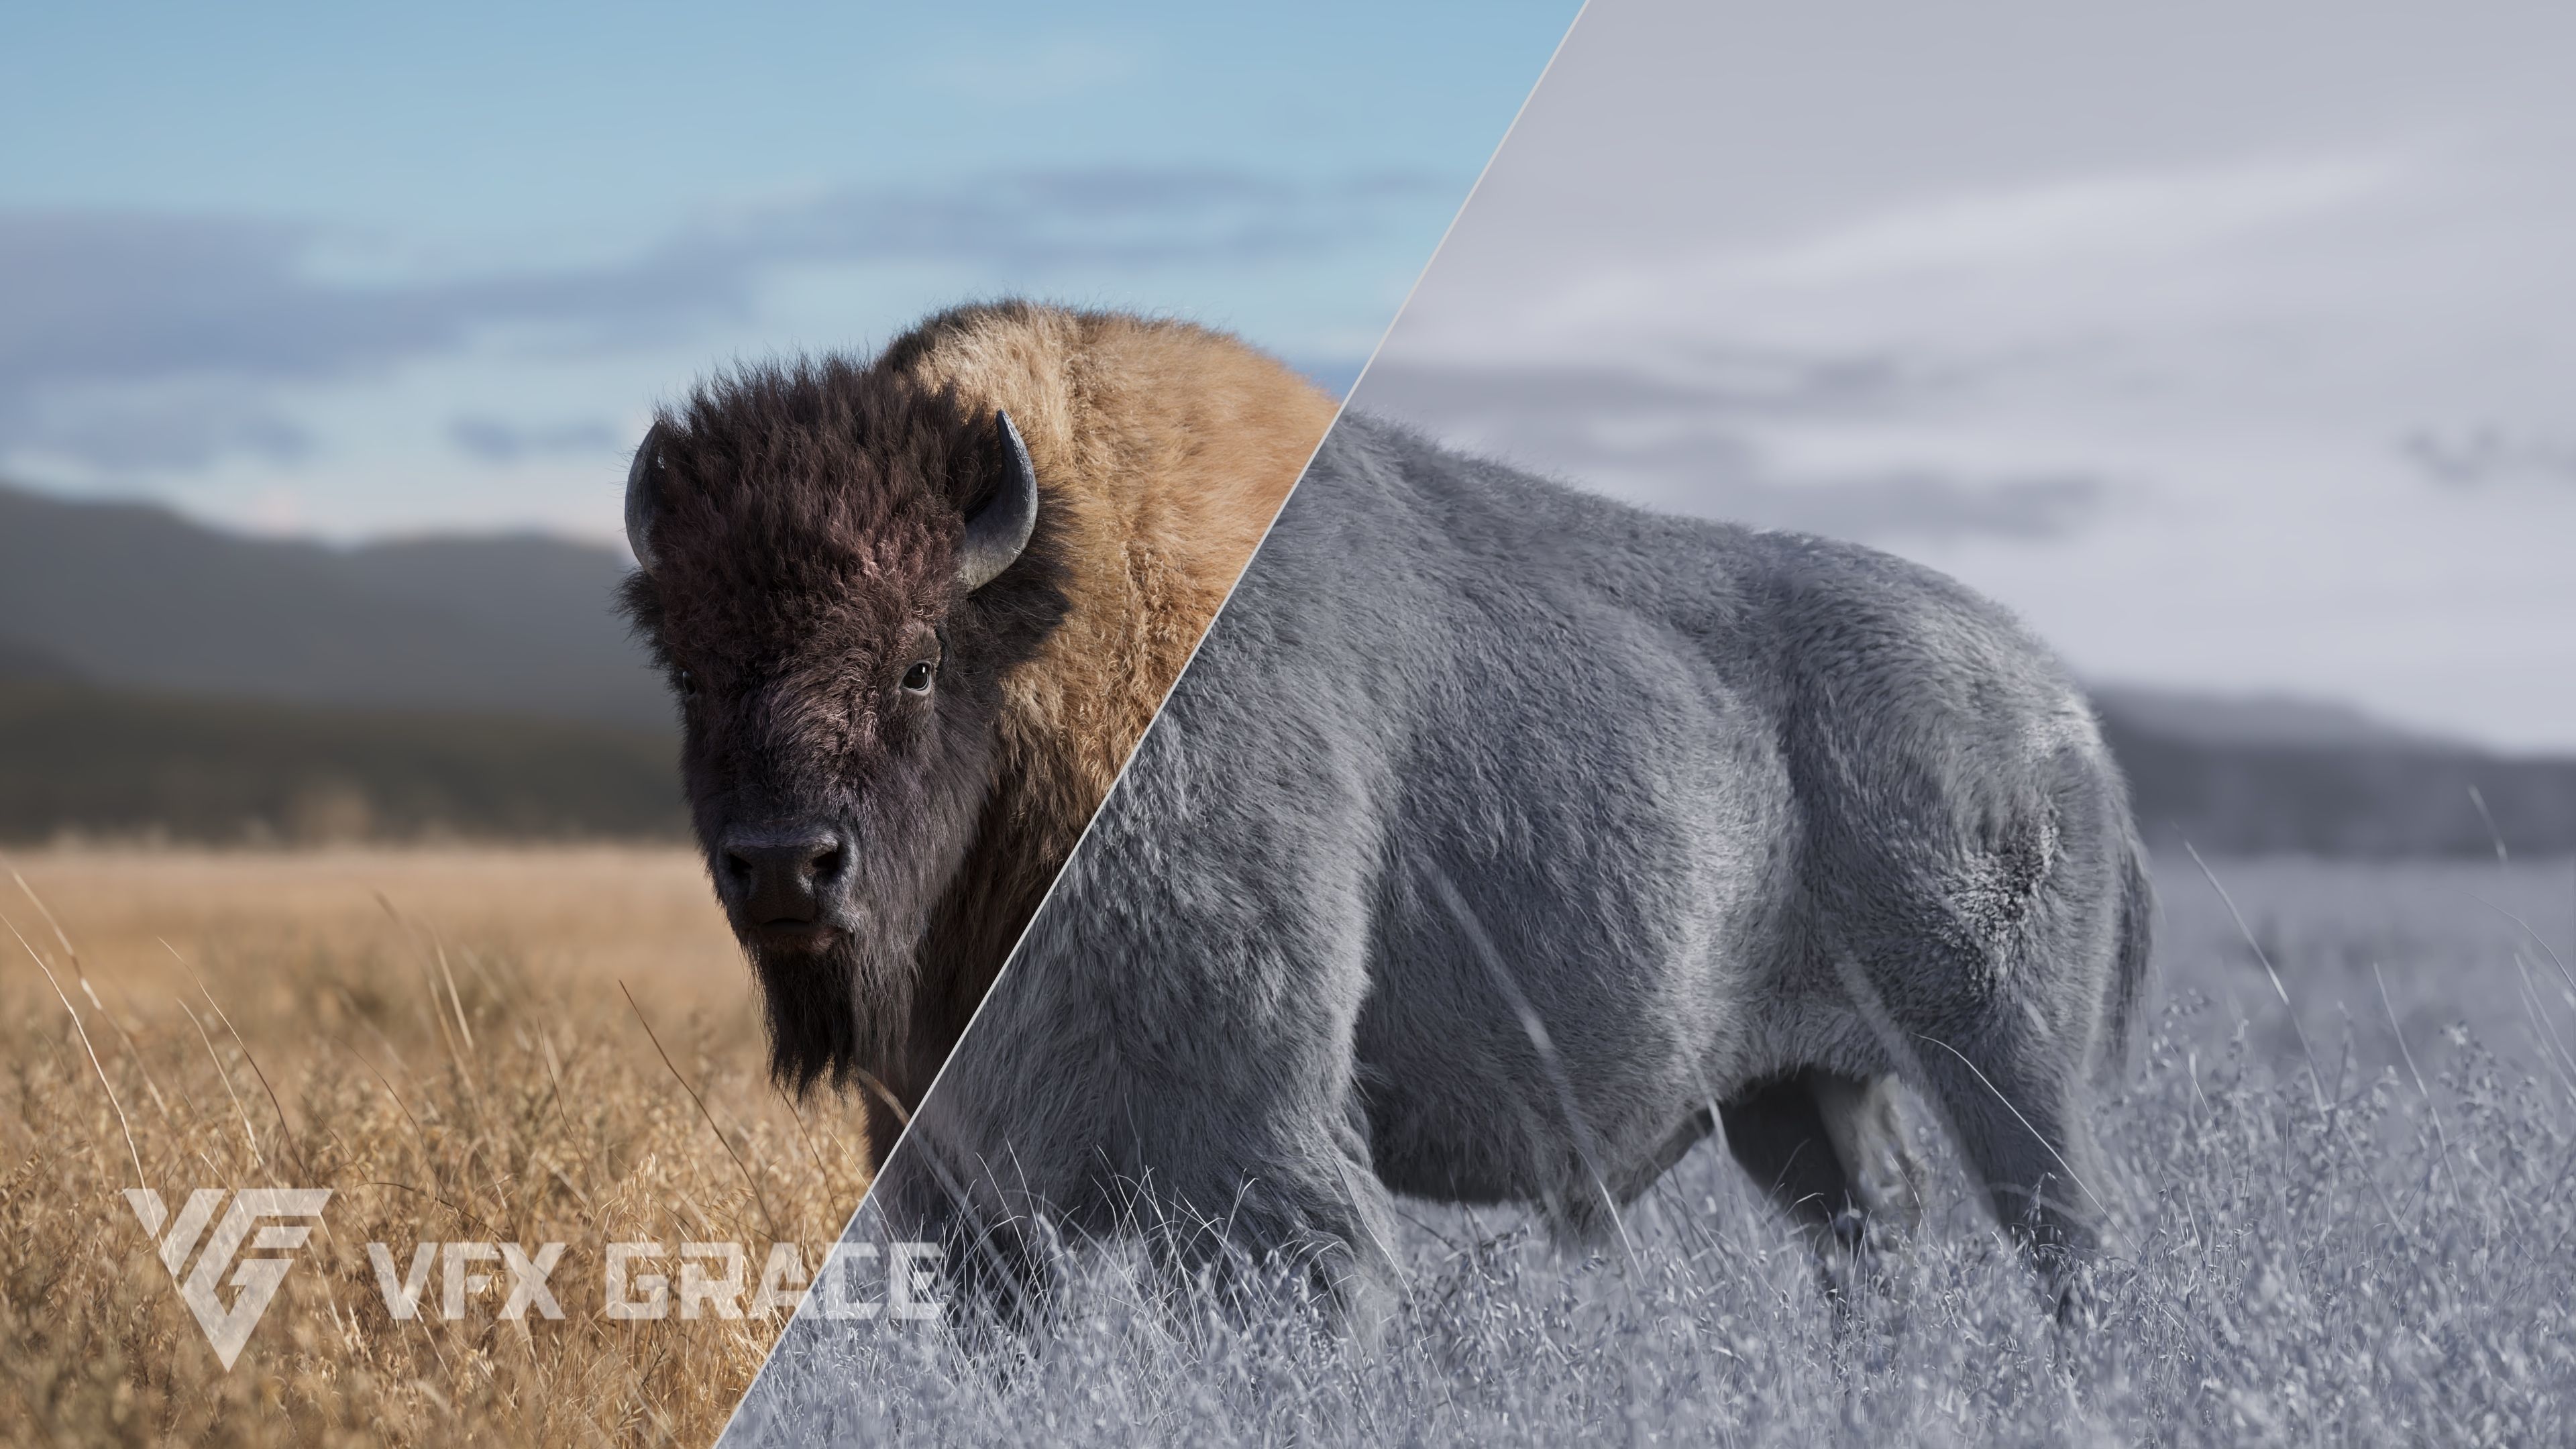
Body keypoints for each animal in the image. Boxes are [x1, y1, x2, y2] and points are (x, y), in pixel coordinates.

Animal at [871, 409, 2154, 1325]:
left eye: (915, 667)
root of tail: (2070, 726)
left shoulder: (1255, 1148)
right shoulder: (949, 1190)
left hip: (2004, 1065)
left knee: (2070, 1241)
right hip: (1791, 1099)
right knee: (1872, 1229)